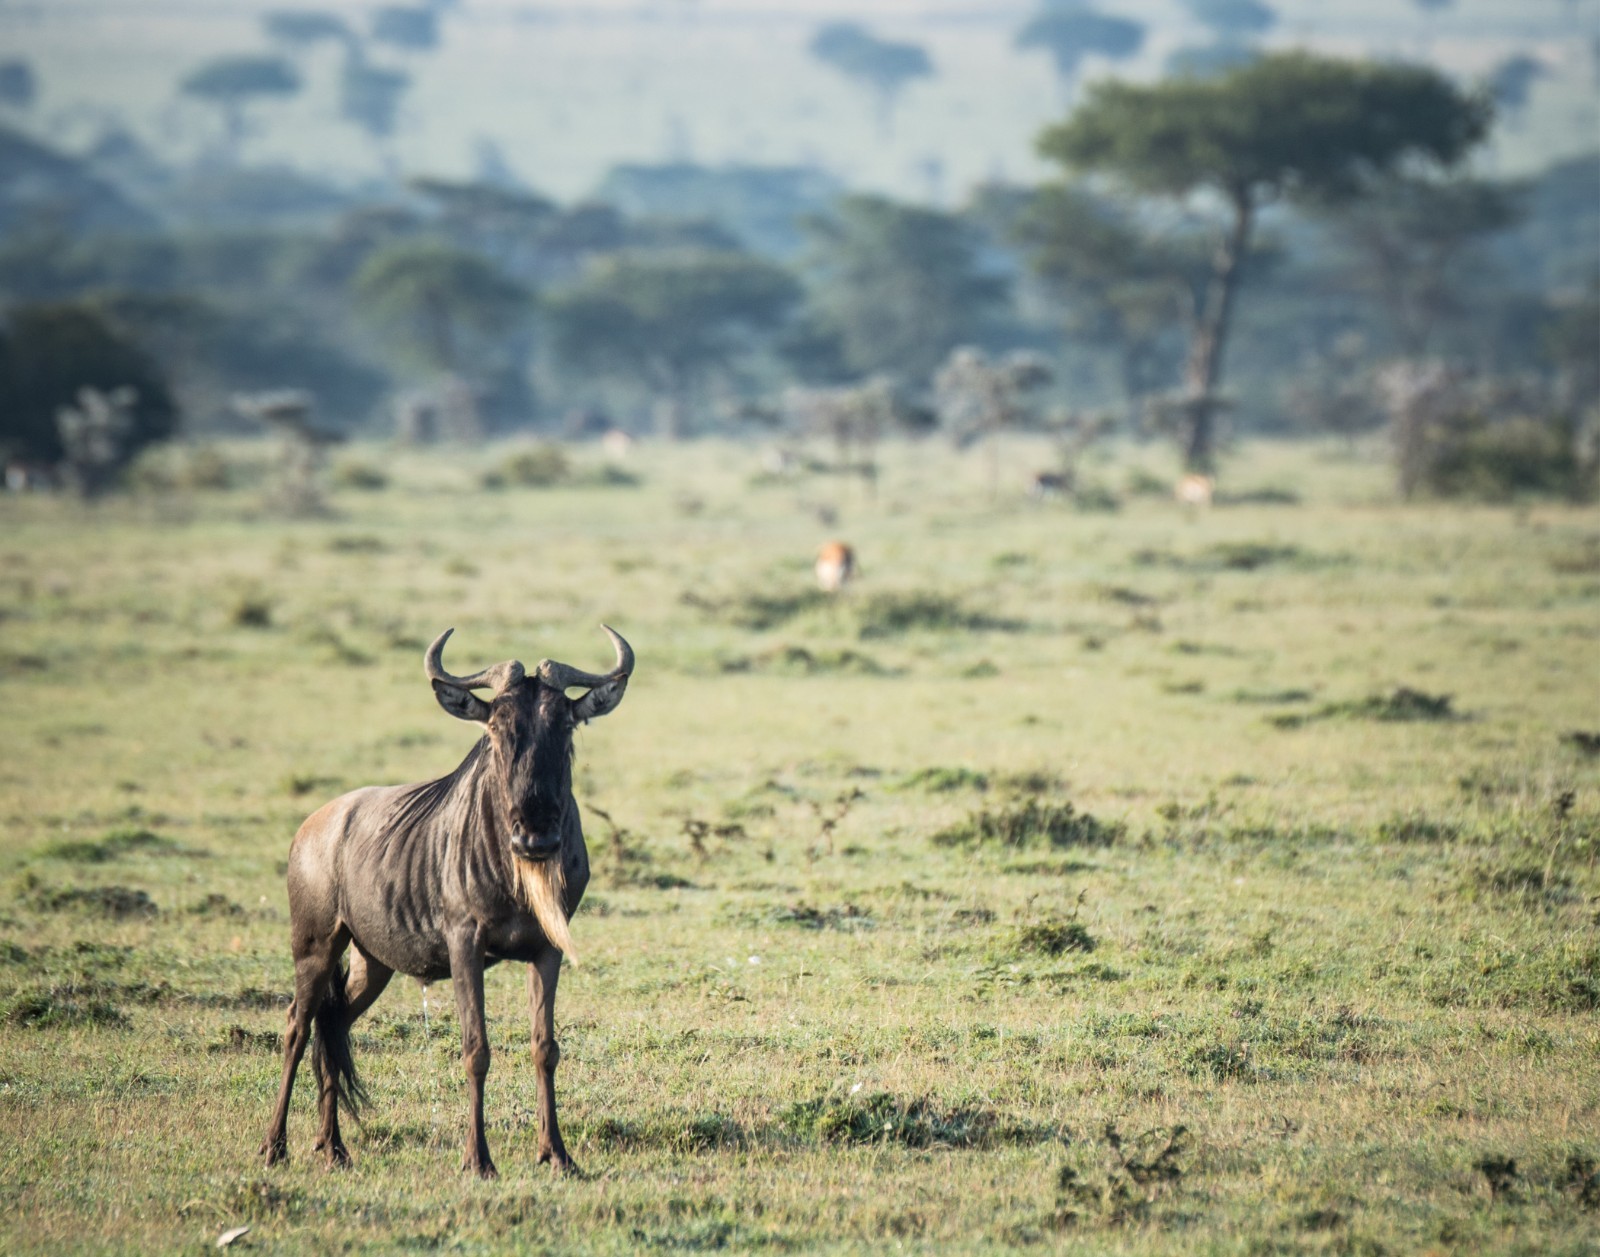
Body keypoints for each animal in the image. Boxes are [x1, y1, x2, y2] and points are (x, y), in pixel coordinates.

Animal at [259, 626, 633, 1179]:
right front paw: (478, 1160)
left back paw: (334, 1148)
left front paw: (558, 1155)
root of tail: (311, 827)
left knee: (334, 1025)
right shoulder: (464, 944)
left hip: (372, 961)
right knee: (297, 1027)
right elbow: (476, 1048)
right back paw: (274, 1146)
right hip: (315, 946)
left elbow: (545, 1048)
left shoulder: (548, 949)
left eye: (565, 726)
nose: (535, 838)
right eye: (496, 729)